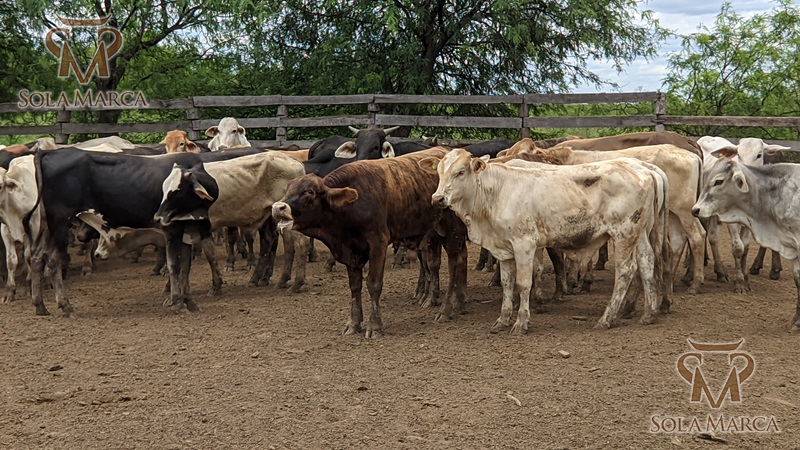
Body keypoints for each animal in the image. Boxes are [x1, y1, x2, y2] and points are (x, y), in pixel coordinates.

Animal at [271, 147, 469, 338]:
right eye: (287, 189)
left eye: (309, 192)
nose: (277, 207)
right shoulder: (350, 251)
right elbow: (355, 286)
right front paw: (354, 323)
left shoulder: (377, 244)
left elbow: (373, 285)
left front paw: (375, 325)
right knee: (448, 261)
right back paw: (455, 301)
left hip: (453, 232)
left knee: (453, 264)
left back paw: (446, 309)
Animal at [421, 149, 669, 332]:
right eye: (439, 171)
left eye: (460, 172)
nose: (437, 198)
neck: (497, 193)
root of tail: (644, 170)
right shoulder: (503, 248)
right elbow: (507, 283)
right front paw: (502, 320)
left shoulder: (525, 244)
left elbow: (523, 283)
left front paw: (521, 322)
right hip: (640, 233)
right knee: (646, 262)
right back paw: (648, 314)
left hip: (624, 233)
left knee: (626, 271)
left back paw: (606, 318)